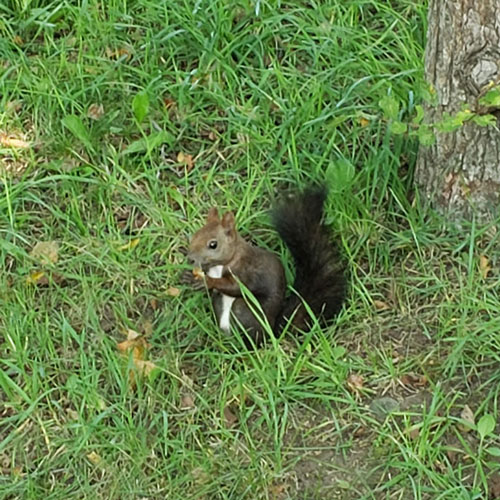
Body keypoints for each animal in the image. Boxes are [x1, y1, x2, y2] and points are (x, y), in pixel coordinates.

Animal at [185, 186, 348, 346]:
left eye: (213, 244)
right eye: (194, 236)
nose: (190, 258)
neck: (220, 265)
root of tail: (272, 333)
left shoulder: (247, 271)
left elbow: (235, 287)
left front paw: (207, 281)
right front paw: (188, 277)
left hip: (245, 310)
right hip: (219, 306)